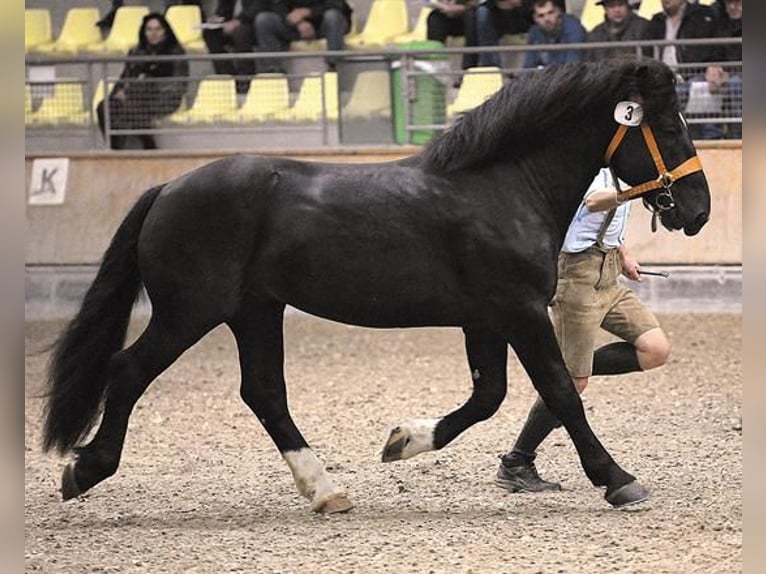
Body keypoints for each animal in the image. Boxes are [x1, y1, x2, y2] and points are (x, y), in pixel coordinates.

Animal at [43, 58, 712, 516]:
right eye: (668, 127)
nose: (699, 210)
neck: (502, 186)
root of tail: (167, 189)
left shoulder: (486, 317)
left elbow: (488, 396)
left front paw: (402, 440)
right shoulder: (519, 310)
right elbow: (560, 392)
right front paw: (618, 480)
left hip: (255, 310)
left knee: (263, 392)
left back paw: (325, 491)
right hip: (191, 312)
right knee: (129, 370)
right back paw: (85, 471)